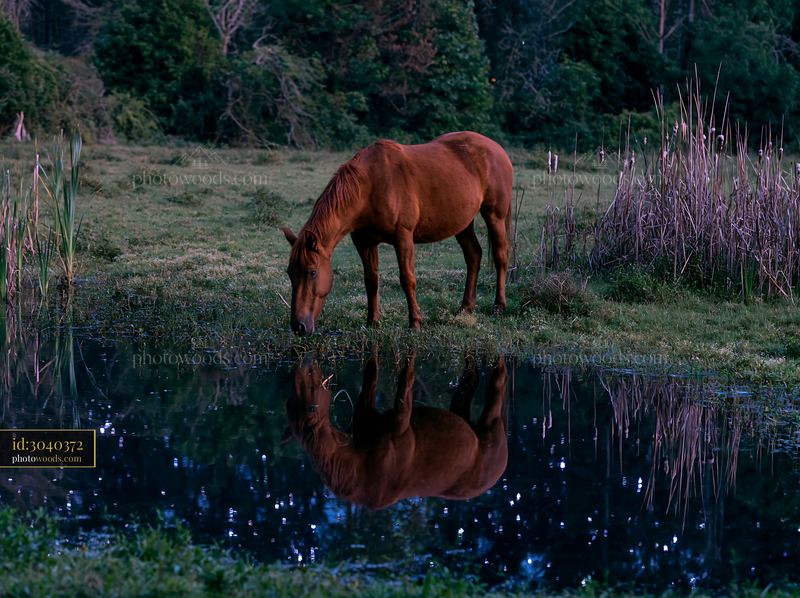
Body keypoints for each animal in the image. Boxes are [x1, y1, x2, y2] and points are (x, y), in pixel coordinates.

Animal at [282, 131, 513, 335]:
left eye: (312, 272)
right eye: (290, 272)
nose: (298, 327)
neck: (371, 185)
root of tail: (497, 148)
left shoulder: (403, 238)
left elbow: (407, 279)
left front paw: (415, 322)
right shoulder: (364, 241)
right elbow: (371, 280)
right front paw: (373, 321)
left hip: (495, 215)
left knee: (500, 256)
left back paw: (499, 306)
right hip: (462, 224)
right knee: (474, 255)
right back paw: (465, 308)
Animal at [285, 352, 508, 510]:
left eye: (310, 390)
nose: (305, 362)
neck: (359, 464)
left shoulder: (400, 425)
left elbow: (404, 385)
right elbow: (370, 376)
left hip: (492, 417)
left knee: (498, 381)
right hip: (462, 410)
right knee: (471, 377)